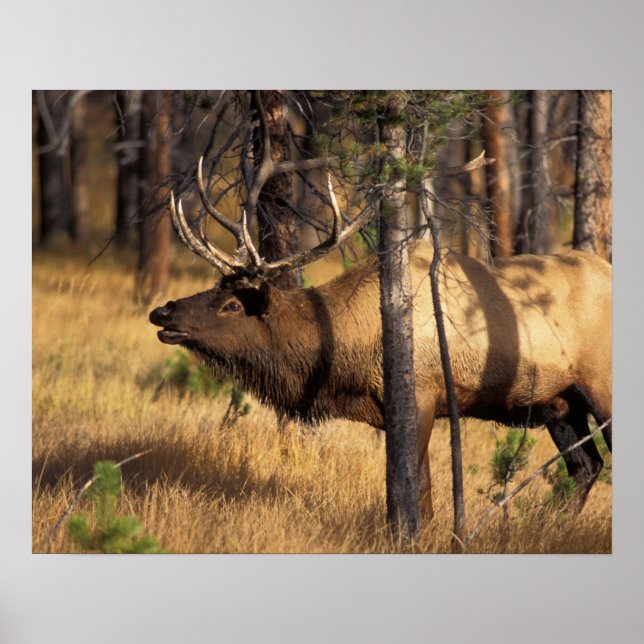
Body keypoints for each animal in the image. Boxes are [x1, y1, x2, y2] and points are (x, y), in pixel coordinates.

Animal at [149, 143, 612, 520]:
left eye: (232, 305)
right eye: (214, 287)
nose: (163, 312)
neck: (343, 358)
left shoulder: (422, 394)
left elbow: (415, 491)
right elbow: (411, 489)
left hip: (599, 387)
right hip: (559, 403)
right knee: (586, 467)